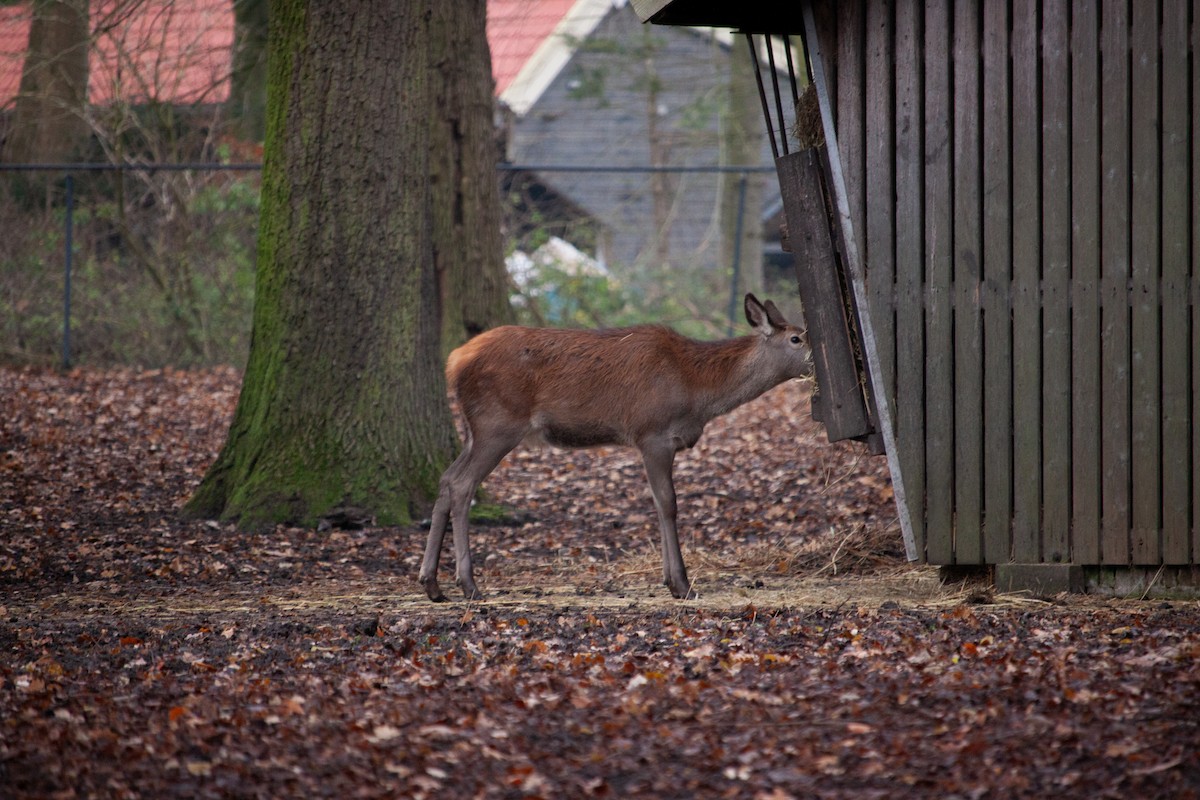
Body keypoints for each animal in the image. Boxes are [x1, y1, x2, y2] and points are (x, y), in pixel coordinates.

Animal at [419, 293, 812, 602]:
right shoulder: (652, 434)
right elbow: (668, 504)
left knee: (446, 478)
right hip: (497, 425)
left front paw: (669, 580)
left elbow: (657, 504)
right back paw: (468, 584)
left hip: (477, 431)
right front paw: (682, 584)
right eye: (796, 338)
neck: (697, 391)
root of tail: (454, 361)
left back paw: (432, 584)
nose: (816, 361)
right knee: (462, 484)